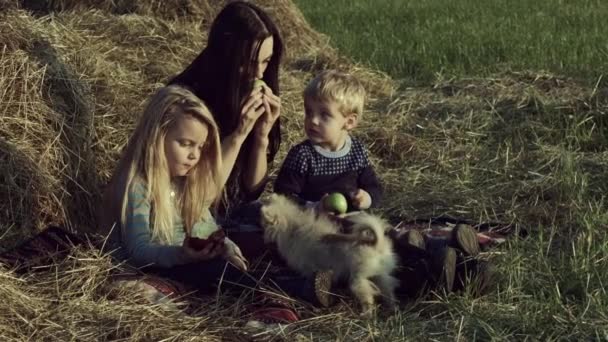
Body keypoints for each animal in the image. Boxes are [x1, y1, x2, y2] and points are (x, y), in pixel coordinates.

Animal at [260, 194, 400, 314]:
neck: (292, 227)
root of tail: (377, 244)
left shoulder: (308, 269)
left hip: (358, 280)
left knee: (368, 298)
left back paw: (366, 314)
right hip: (380, 275)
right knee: (388, 290)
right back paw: (391, 308)